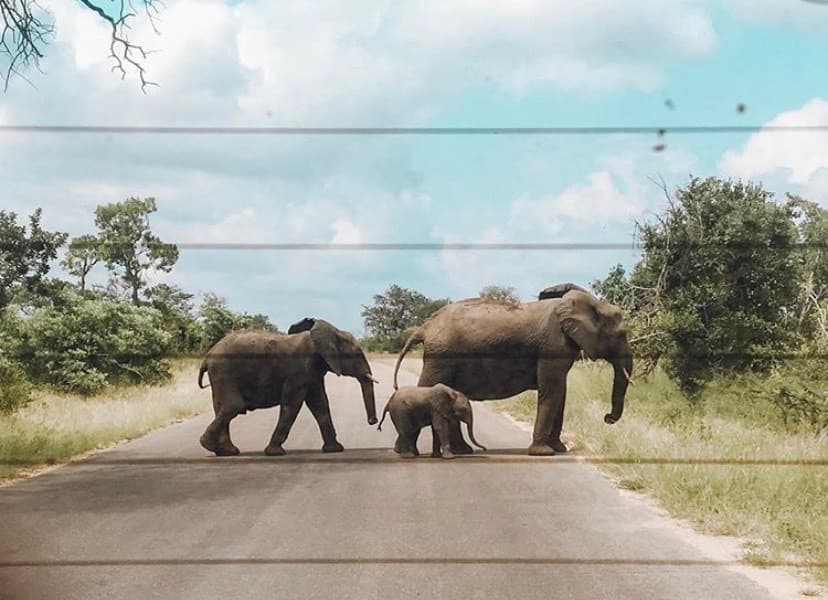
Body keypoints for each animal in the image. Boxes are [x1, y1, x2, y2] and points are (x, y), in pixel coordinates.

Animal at [197, 318, 378, 454]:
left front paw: (335, 450)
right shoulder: (300, 370)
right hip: (224, 371)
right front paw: (275, 452)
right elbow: (292, 404)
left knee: (221, 406)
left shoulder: (313, 373)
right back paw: (210, 445)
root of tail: (208, 355)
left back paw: (226, 451)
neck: (332, 333)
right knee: (234, 405)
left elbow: (319, 404)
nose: (373, 421)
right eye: (356, 355)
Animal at [392, 284, 632, 458]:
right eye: (622, 335)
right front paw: (543, 453)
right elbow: (551, 391)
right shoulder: (552, 346)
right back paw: (405, 452)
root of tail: (425, 327)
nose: (607, 418)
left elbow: (560, 393)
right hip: (440, 358)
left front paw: (559, 449)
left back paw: (459, 452)